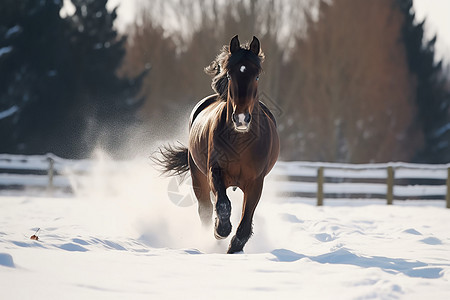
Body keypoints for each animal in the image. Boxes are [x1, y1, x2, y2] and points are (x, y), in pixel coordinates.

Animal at [156, 35, 280, 253]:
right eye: (230, 75)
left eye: (257, 76)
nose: (241, 119)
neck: (241, 142)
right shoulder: (214, 171)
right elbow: (223, 205)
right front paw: (220, 230)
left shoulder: (256, 182)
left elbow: (245, 224)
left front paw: (234, 247)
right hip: (198, 177)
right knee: (205, 209)